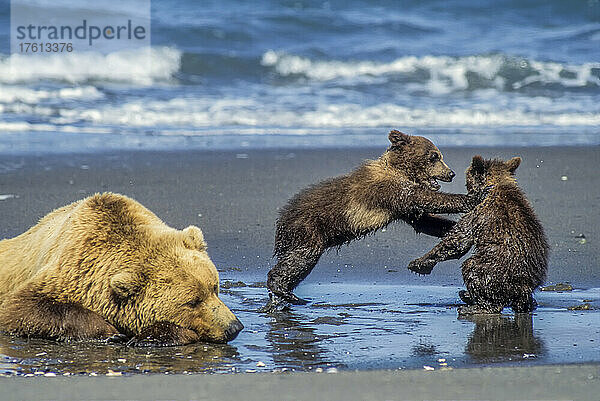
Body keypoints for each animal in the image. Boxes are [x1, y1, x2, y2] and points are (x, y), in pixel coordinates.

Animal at [0, 192, 244, 342]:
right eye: (192, 302)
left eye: (214, 287)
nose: (233, 327)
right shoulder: (67, 271)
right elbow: (19, 308)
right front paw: (110, 332)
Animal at [268, 130, 488, 308]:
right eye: (434, 156)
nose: (450, 173)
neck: (399, 169)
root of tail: (282, 220)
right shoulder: (390, 189)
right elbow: (424, 198)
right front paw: (474, 196)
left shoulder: (401, 207)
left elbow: (424, 221)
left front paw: (453, 228)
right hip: (307, 229)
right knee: (301, 259)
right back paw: (284, 290)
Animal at [408, 155, 548, 314]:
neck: (494, 185)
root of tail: (524, 287)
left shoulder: (478, 213)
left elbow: (458, 240)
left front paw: (419, 263)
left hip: (498, 272)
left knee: (472, 268)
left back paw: (473, 305)